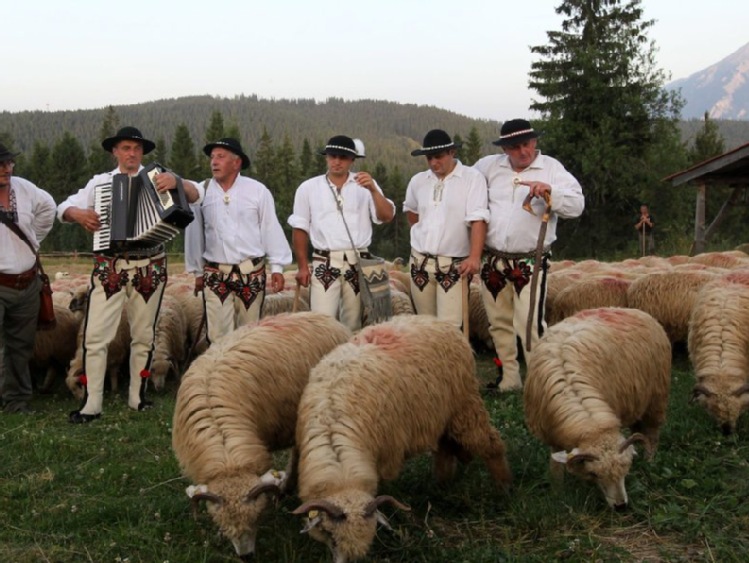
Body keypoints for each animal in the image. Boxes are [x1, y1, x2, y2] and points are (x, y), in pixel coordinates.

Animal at [290, 316, 512, 560]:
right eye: (330, 536)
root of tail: (439, 322)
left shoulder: (386, 456)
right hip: (441, 414)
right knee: (445, 448)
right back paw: (441, 484)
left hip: (464, 406)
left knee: (491, 443)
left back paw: (503, 487)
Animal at [524, 308, 668, 512]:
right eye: (594, 474)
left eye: (626, 469)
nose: (621, 506)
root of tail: (631, 309)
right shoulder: (552, 433)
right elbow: (555, 465)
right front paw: (557, 493)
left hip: (655, 400)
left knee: (652, 435)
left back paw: (649, 462)